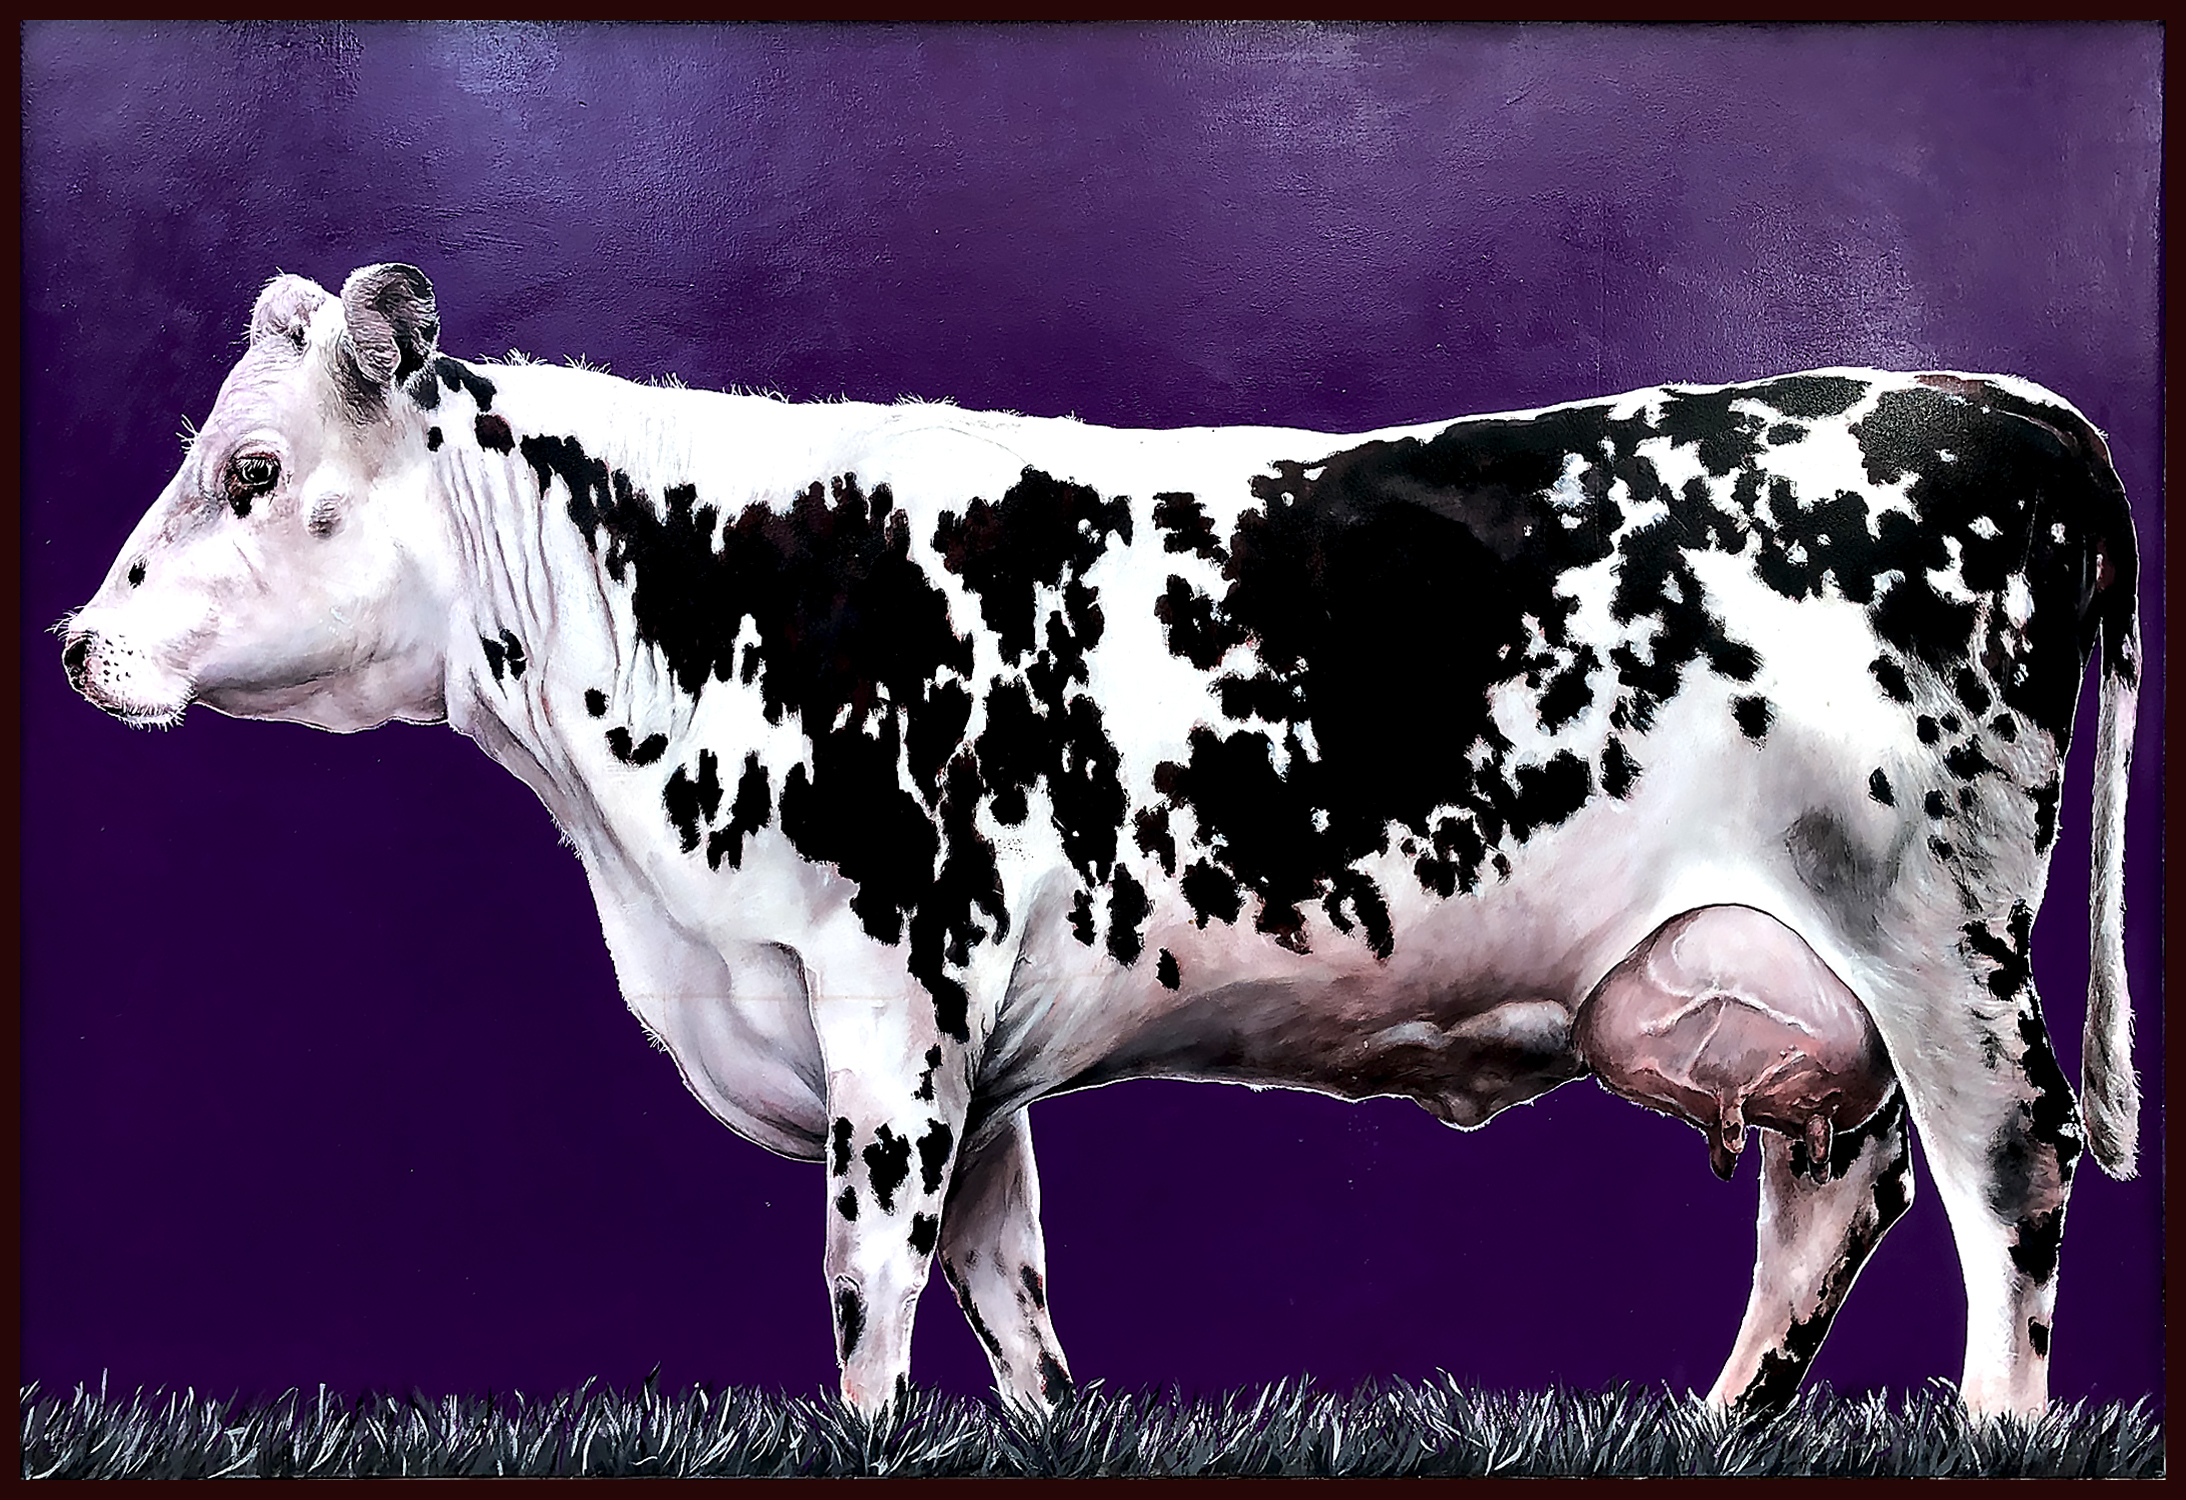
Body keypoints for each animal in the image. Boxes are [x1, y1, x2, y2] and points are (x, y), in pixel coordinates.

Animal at [63, 264, 2140, 1421]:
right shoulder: (962, 1046)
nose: (80, 643)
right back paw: (1713, 1428)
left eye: (252, 471)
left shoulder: (887, 990)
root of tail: (2010, 406)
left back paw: (1993, 1431)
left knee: (2004, 1172)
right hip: (1815, 986)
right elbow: (1011, 1294)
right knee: (1833, 1202)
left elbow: (869, 1289)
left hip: (1937, 934)